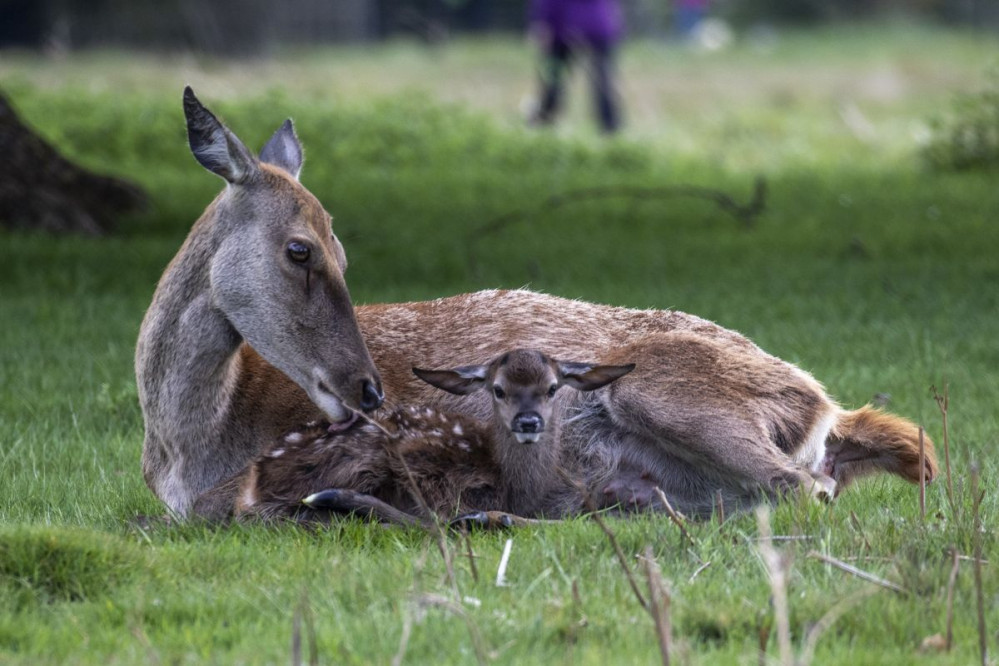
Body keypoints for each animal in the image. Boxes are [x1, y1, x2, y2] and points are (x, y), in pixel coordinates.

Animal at [207, 350, 632, 520]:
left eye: (552, 388)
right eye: (498, 389)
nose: (528, 421)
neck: (513, 487)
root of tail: (254, 478)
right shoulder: (438, 482)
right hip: (367, 456)